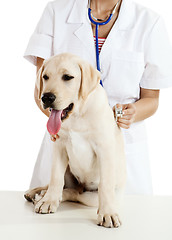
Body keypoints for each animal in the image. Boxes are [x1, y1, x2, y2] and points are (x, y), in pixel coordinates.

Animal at [24, 53, 126, 229]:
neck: (78, 115)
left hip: (93, 197)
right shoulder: (60, 145)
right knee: (60, 186)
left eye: (67, 77)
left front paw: (108, 213)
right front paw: (49, 201)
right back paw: (38, 193)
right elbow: (55, 177)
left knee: (76, 194)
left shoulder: (104, 148)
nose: (46, 97)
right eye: (45, 77)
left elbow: (105, 185)